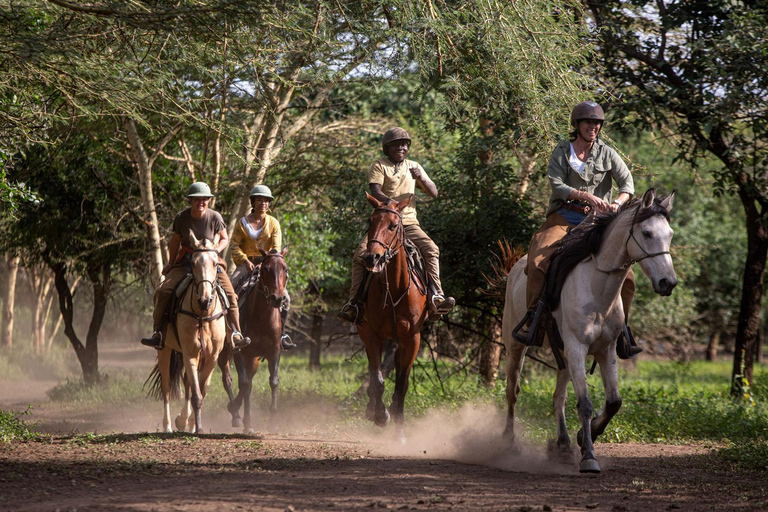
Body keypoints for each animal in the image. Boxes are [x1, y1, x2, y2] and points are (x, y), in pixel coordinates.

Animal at [146, 234, 226, 434]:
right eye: (194, 263)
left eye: (215, 264)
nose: (205, 299)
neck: (202, 315)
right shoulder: (190, 353)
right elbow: (196, 393)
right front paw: (196, 427)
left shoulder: (211, 357)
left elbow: (201, 390)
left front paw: (191, 425)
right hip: (165, 349)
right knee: (166, 387)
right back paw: (168, 425)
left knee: (187, 382)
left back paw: (182, 421)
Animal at [218, 246, 290, 434]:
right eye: (266, 269)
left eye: (285, 269)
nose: (277, 298)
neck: (262, 317)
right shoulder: (240, 352)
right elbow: (244, 384)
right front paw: (247, 423)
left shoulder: (274, 352)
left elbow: (273, 381)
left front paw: (273, 422)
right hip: (225, 353)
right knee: (228, 379)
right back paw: (236, 416)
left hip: (254, 359)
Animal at [356, 193, 428, 444]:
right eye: (370, 221)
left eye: (393, 225)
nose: (372, 257)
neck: (395, 289)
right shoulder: (371, 334)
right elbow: (378, 380)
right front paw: (380, 415)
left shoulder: (412, 339)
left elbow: (402, 385)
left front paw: (399, 432)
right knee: (373, 372)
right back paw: (372, 409)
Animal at [504, 190, 680, 474]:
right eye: (647, 233)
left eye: (670, 233)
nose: (668, 283)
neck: (597, 287)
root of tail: (515, 268)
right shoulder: (578, 348)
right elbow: (585, 404)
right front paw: (588, 456)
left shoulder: (605, 350)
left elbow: (614, 402)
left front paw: (583, 437)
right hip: (515, 347)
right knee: (513, 391)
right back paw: (508, 442)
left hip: (563, 353)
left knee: (558, 398)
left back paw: (563, 445)